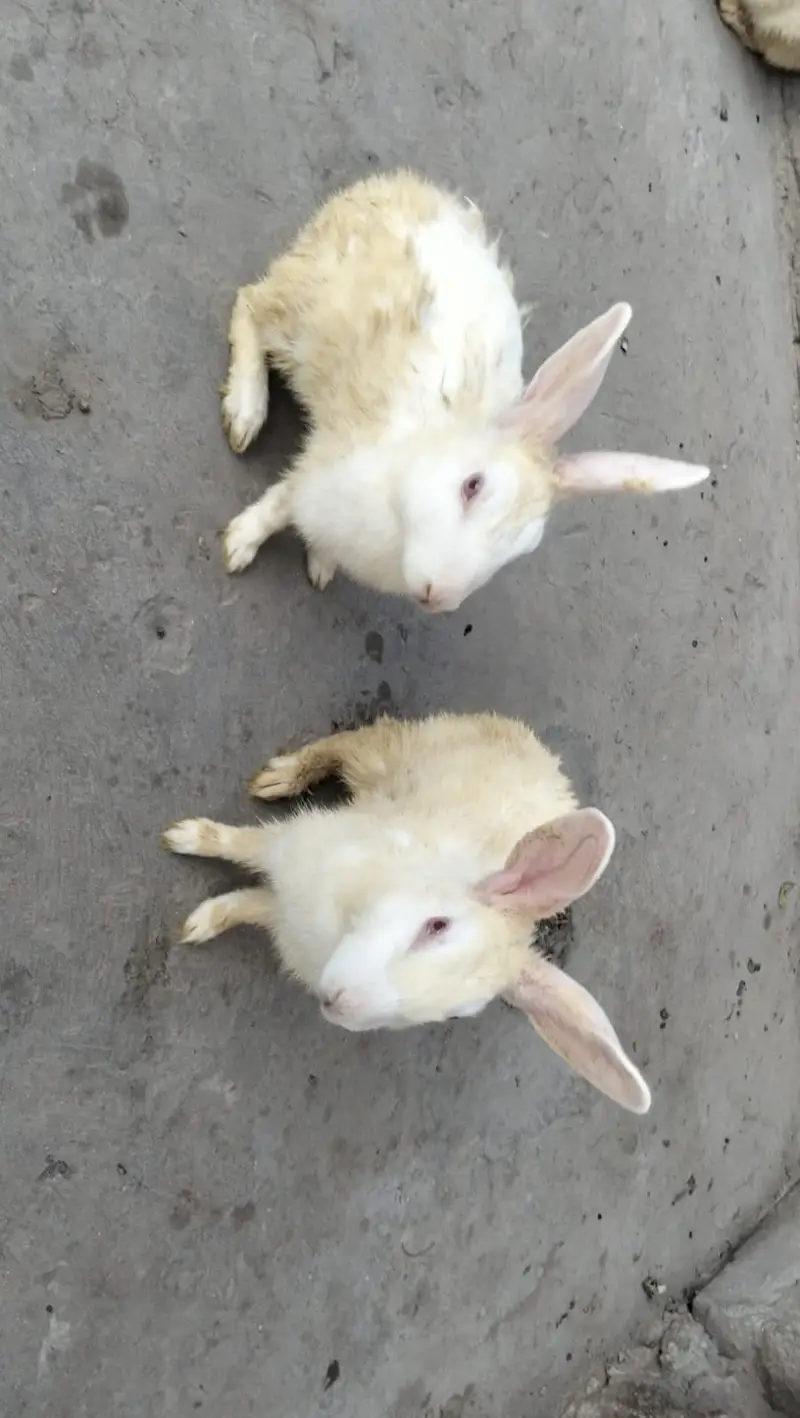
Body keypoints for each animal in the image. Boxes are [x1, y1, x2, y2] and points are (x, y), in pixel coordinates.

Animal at [163, 711, 651, 1114]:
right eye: (437, 925)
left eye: (456, 1015)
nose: (336, 1004)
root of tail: (546, 759)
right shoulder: (292, 849)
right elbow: (240, 844)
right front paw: (184, 838)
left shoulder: (281, 914)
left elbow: (245, 904)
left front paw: (202, 921)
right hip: (386, 755)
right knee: (347, 743)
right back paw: (277, 778)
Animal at [220, 169, 708, 612]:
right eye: (472, 486)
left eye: (523, 547)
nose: (437, 595)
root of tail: (399, 185)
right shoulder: (324, 468)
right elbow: (281, 503)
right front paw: (238, 545)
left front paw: (321, 564)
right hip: (305, 314)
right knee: (250, 304)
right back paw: (245, 414)